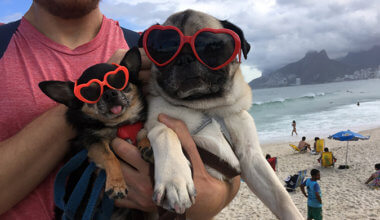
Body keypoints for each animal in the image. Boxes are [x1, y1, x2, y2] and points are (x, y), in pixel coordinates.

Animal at [37, 48, 147, 203]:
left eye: (119, 81)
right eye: (90, 93)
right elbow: (110, 156)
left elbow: (146, 130)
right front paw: (117, 185)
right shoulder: (94, 141)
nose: (110, 94)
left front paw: (147, 145)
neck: (119, 124)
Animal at [140, 9, 302, 218]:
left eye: (211, 47)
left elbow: (281, 197)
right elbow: (166, 132)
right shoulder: (153, 125)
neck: (207, 107)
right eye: (164, 51)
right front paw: (174, 179)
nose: (184, 58)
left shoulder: (251, 159)